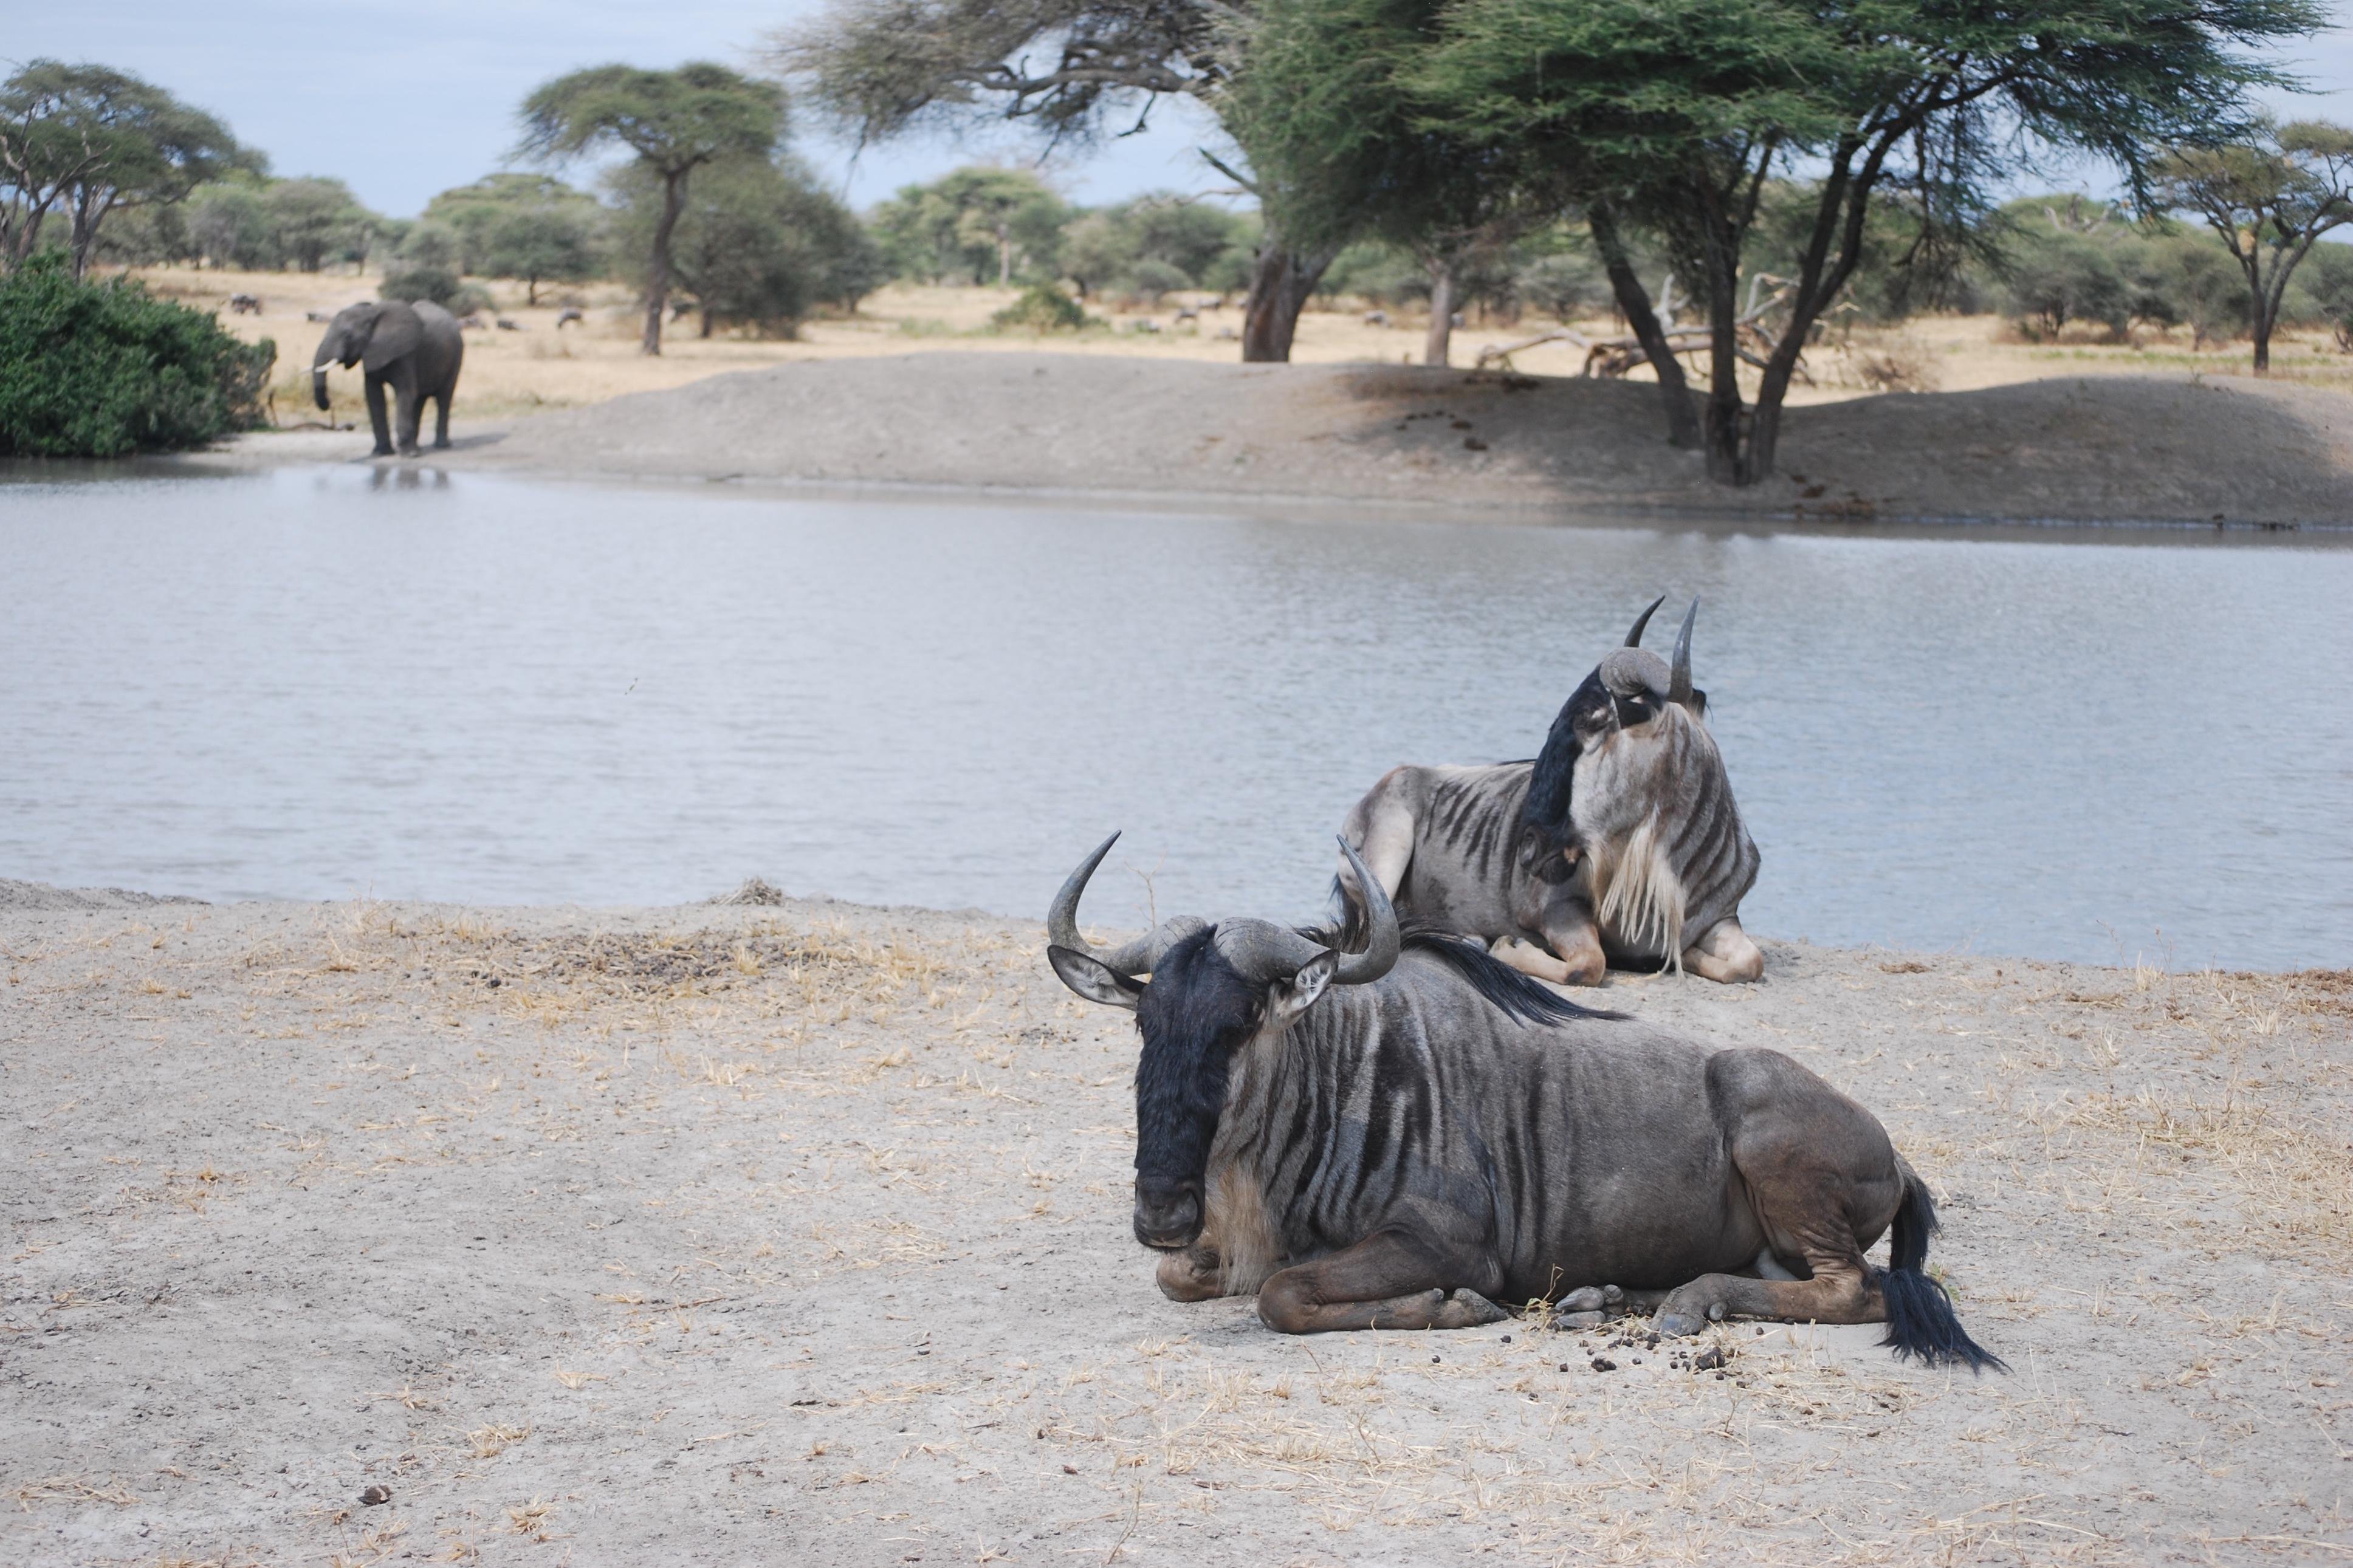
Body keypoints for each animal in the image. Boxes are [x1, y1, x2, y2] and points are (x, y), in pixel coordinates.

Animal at [308, 298, 463, 456]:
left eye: (348, 335)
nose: (328, 405)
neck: (371, 313)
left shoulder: (405, 354)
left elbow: (405, 392)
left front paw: (408, 456)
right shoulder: (371, 353)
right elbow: (374, 395)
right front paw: (381, 453)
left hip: (456, 355)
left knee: (444, 397)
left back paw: (439, 446)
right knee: (420, 399)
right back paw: (417, 448)